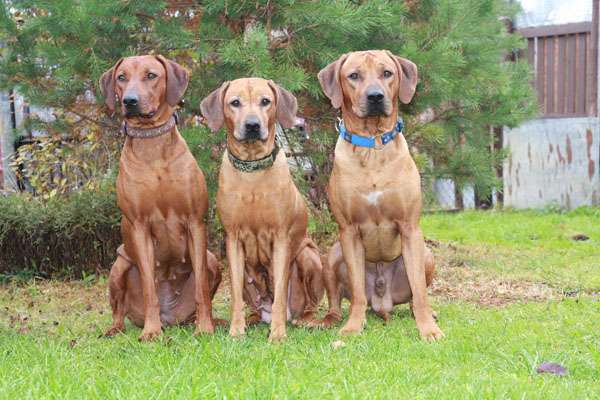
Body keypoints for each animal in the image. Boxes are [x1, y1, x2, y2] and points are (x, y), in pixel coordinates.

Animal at [318, 50, 440, 340]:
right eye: (353, 75)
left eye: (387, 73)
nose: (375, 97)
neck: (372, 144)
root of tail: (383, 302)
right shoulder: (348, 231)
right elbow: (357, 294)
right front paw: (353, 326)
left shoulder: (409, 227)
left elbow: (420, 291)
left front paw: (428, 330)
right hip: (332, 254)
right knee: (337, 300)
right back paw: (330, 319)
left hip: (427, 255)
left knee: (416, 293)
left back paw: (426, 313)